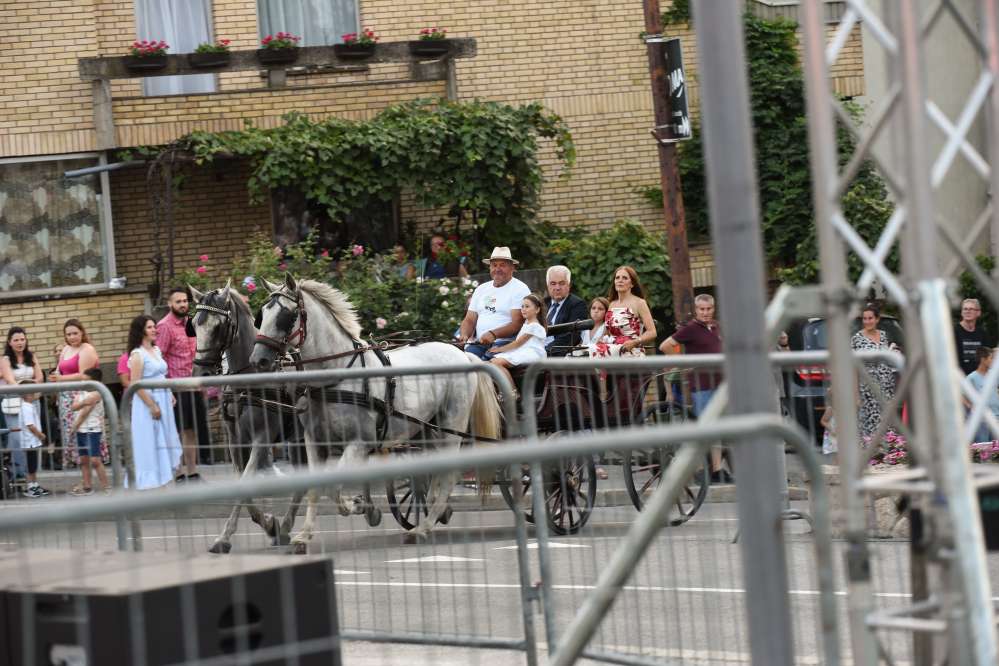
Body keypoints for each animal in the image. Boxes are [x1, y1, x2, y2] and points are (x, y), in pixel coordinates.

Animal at [247, 274, 504, 548]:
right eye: (262, 314)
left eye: (287, 315)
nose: (258, 360)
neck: (337, 373)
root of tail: (462, 353)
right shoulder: (314, 441)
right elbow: (317, 488)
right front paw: (304, 534)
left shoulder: (360, 442)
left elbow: (332, 488)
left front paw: (359, 505)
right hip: (427, 428)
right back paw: (436, 513)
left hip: (452, 426)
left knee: (448, 474)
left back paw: (423, 527)